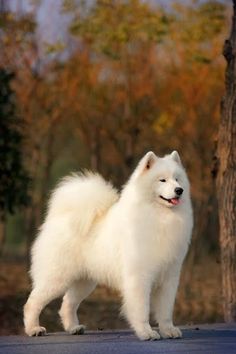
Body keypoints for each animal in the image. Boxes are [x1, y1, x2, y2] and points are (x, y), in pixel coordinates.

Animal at [24, 151, 194, 340]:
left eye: (177, 179)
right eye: (162, 180)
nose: (179, 190)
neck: (160, 217)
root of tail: (57, 217)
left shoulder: (169, 276)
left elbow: (165, 311)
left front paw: (168, 330)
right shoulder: (139, 276)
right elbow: (142, 309)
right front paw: (146, 332)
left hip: (84, 281)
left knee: (67, 303)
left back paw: (74, 328)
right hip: (56, 278)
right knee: (32, 302)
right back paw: (34, 329)